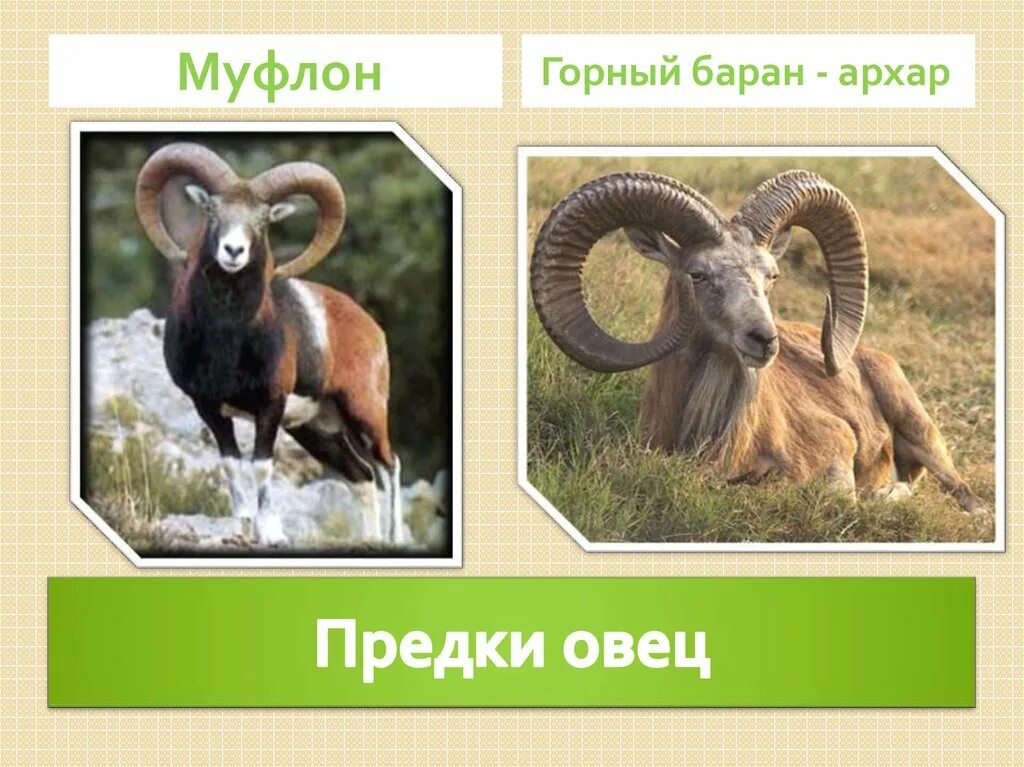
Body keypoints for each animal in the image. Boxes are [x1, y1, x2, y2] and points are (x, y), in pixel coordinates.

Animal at [135, 142, 406, 546]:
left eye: (263, 221)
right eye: (212, 210)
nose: (233, 251)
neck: (226, 342)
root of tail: (370, 327)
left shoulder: (270, 405)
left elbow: (261, 467)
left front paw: (271, 533)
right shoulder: (209, 408)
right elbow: (231, 465)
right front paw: (243, 528)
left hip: (364, 411)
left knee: (389, 465)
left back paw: (396, 539)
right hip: (317, 429)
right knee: (361, 476)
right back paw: (371, 540)